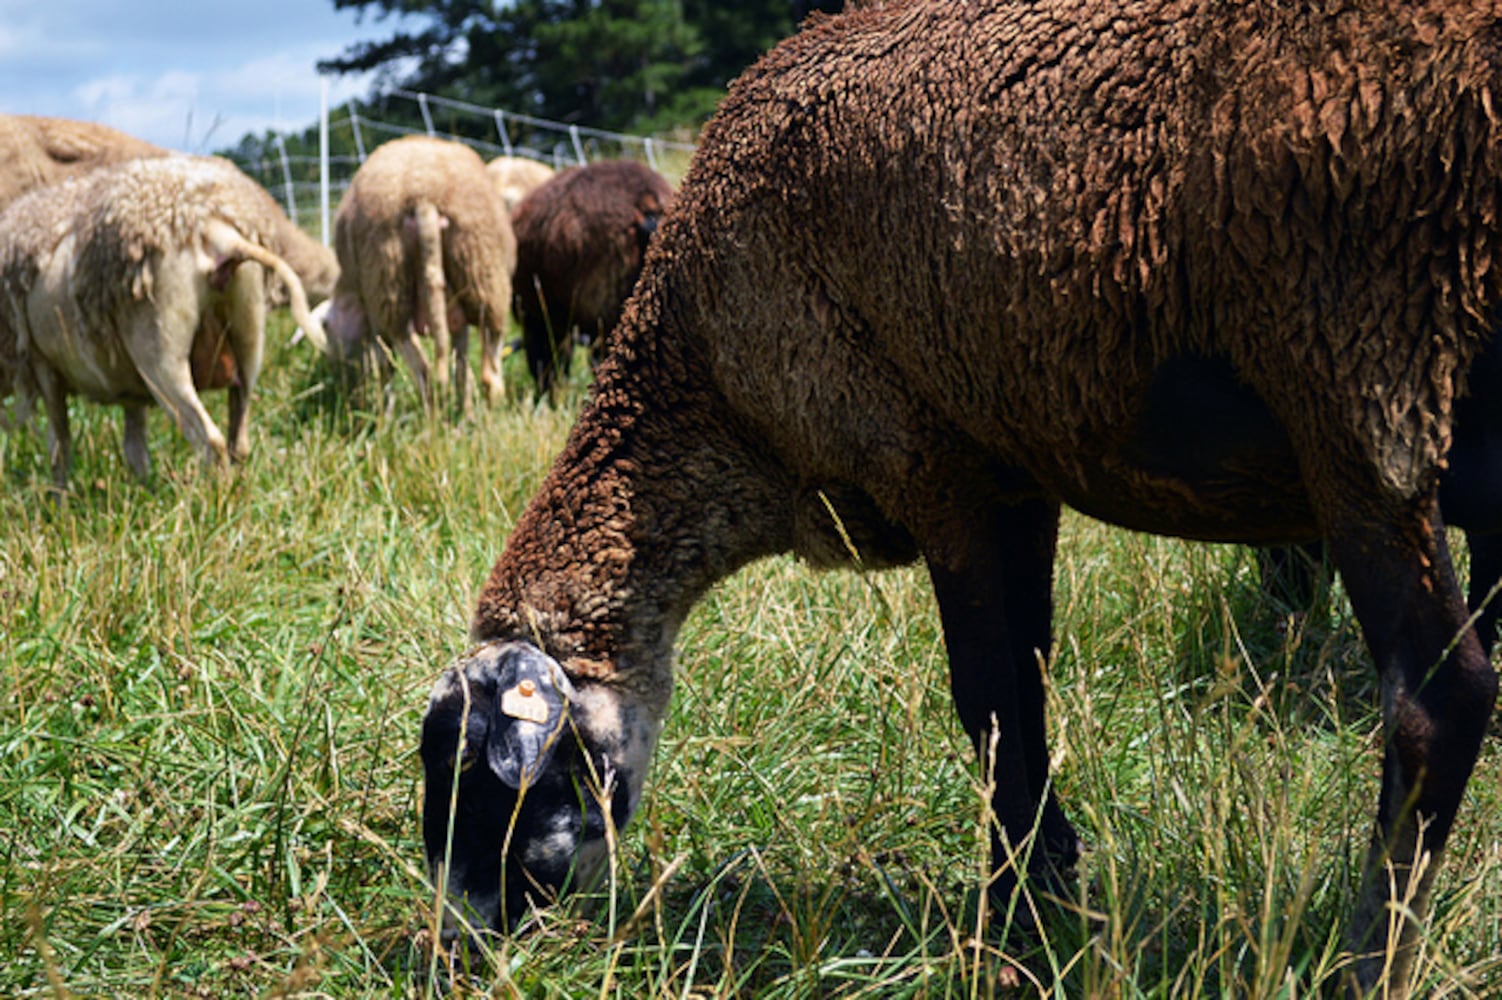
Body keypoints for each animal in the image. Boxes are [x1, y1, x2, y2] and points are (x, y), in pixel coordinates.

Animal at [0, 150, 327, 486]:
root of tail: (215, 230)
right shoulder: (128, 386)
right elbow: (135, 449)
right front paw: (141, 488)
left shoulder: (42, 365)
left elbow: (59, 447)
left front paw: (60, 496)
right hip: (248, 332)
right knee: (239, 440)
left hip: (160, 348)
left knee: (211, 442)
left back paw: (216, 496)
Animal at [321, 134, 516, 408]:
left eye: (327, 328)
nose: (341, 380)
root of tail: (423, 193)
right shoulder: (457, 313)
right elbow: (462, 366)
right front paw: (465, 407)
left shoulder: (374, 318)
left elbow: (386, 367)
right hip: (483, 277)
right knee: (490, 377)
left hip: (388, 285)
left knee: (423, 371)